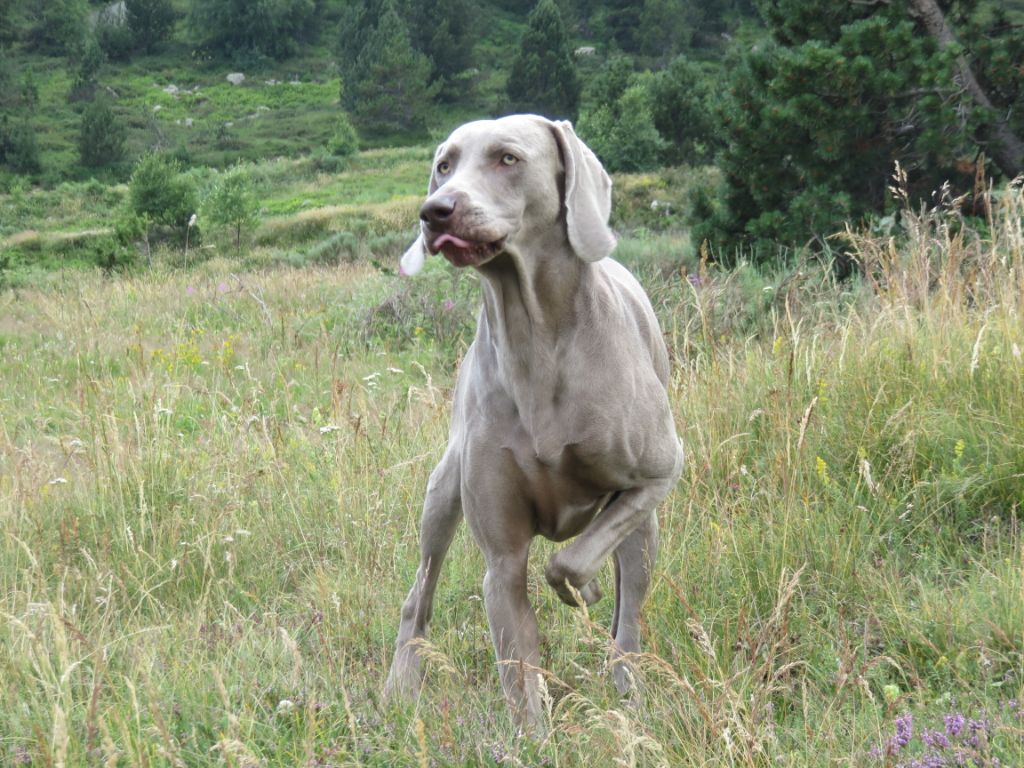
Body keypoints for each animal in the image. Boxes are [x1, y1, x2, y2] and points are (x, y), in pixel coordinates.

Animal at [387, 114, 684, 733]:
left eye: (508, 158)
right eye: (444, 164)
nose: (435, 211)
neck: (535, 335)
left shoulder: (660, 472)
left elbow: (570, 563)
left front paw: (585, 591)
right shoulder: (502, 562)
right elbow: (520, 674)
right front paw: (533, 736)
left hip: (645, 530)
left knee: (629, 618)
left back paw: (627, 684)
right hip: (442, 492)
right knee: (418, 594)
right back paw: (399, 686)